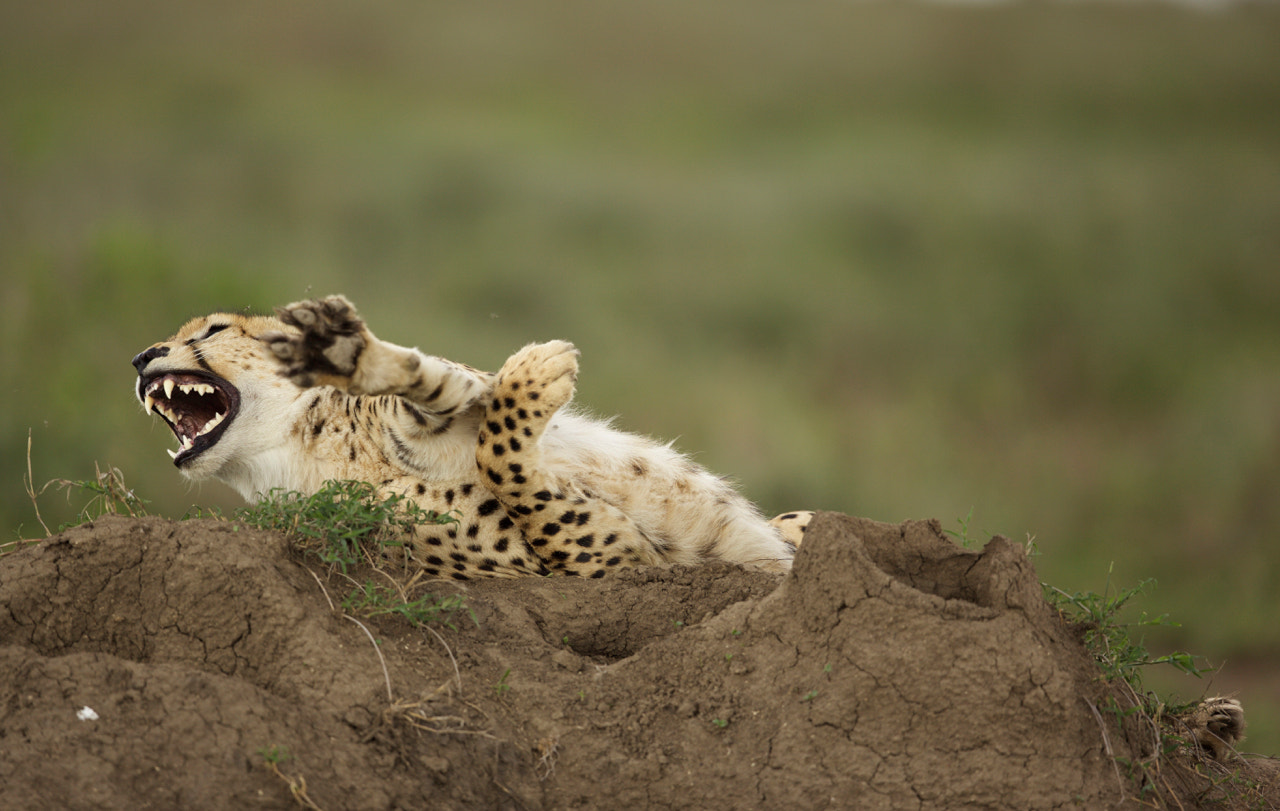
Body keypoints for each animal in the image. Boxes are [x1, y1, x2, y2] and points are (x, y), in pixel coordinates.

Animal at [132, 294, 814, 580]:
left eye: (213, 330)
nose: (140, 358)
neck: (299, 449)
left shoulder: (461, 392)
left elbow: (450, 389)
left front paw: (345, 351)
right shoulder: (606, 564)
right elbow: (504, 463)